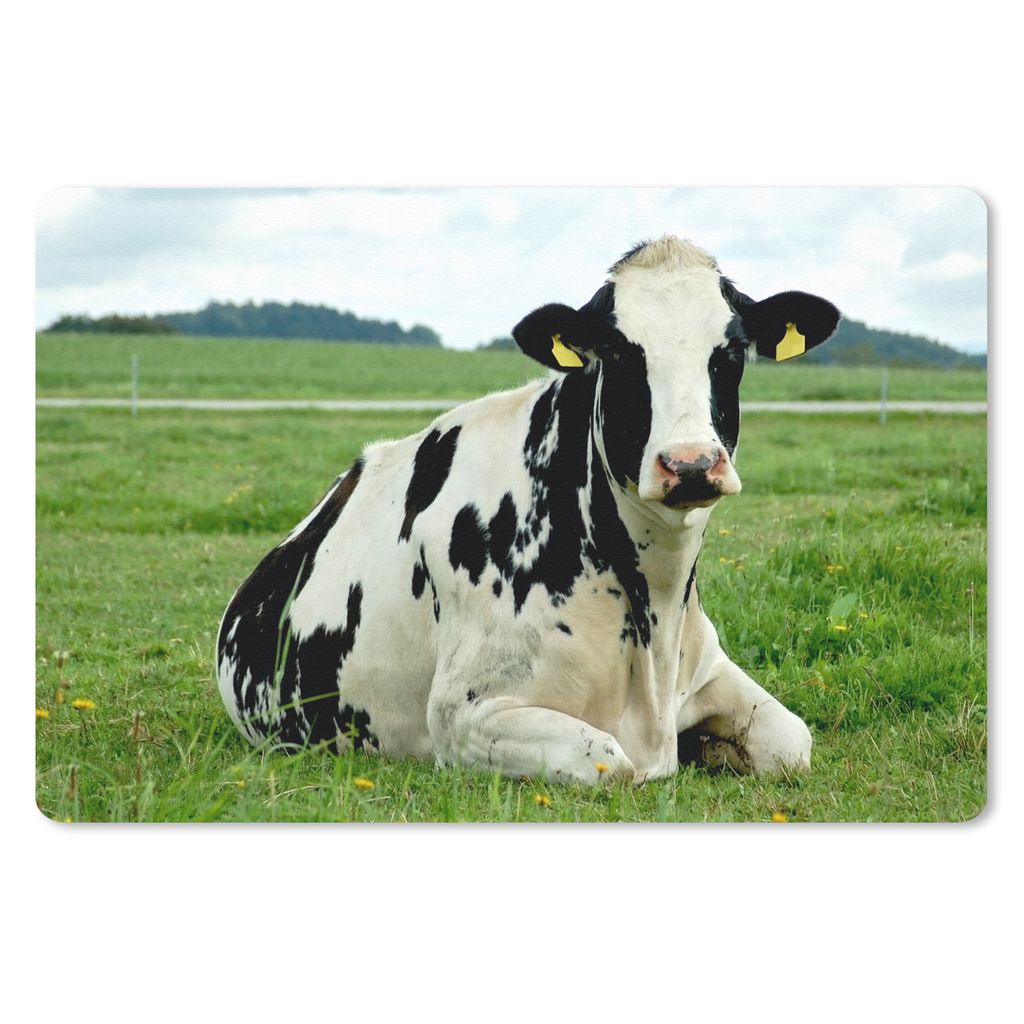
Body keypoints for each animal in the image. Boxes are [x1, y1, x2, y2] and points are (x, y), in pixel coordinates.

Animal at [216, 235, 840, 784]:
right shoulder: (465, 715)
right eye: (618, 351)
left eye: (731, 351)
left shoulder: (709, 671)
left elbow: (793, 741)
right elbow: (610, 761)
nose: (689, 463)